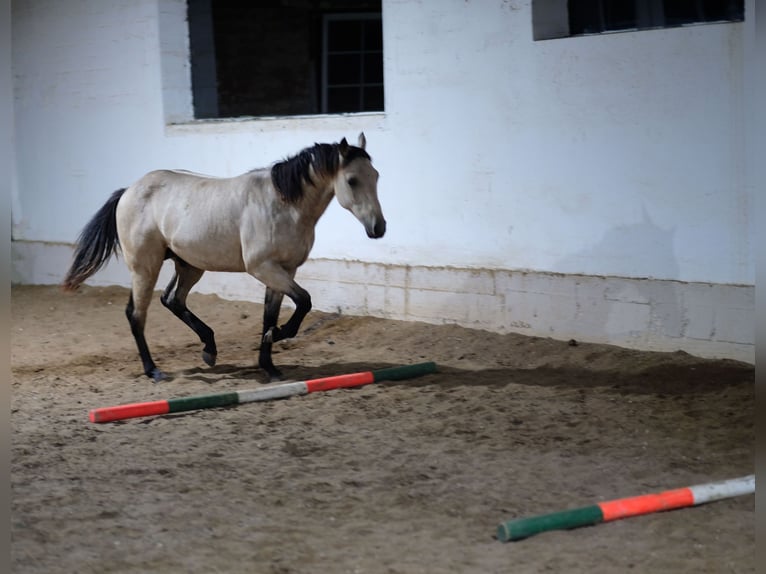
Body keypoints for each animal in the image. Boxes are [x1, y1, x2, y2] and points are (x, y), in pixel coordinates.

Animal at [62, 133, 385, 382]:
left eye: (376, 176)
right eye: (352, 180)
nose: (378, 228)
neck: (282, 205)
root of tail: (128, 191)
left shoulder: (285, 270)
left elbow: (271, 314)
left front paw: (269, 364)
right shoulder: (262, 268)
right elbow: (304, 301)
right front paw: (278, 335)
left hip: (189, 265)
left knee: (173, 300)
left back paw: (209, 349)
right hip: (145, 267)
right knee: (136, 314)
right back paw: (153, 370)